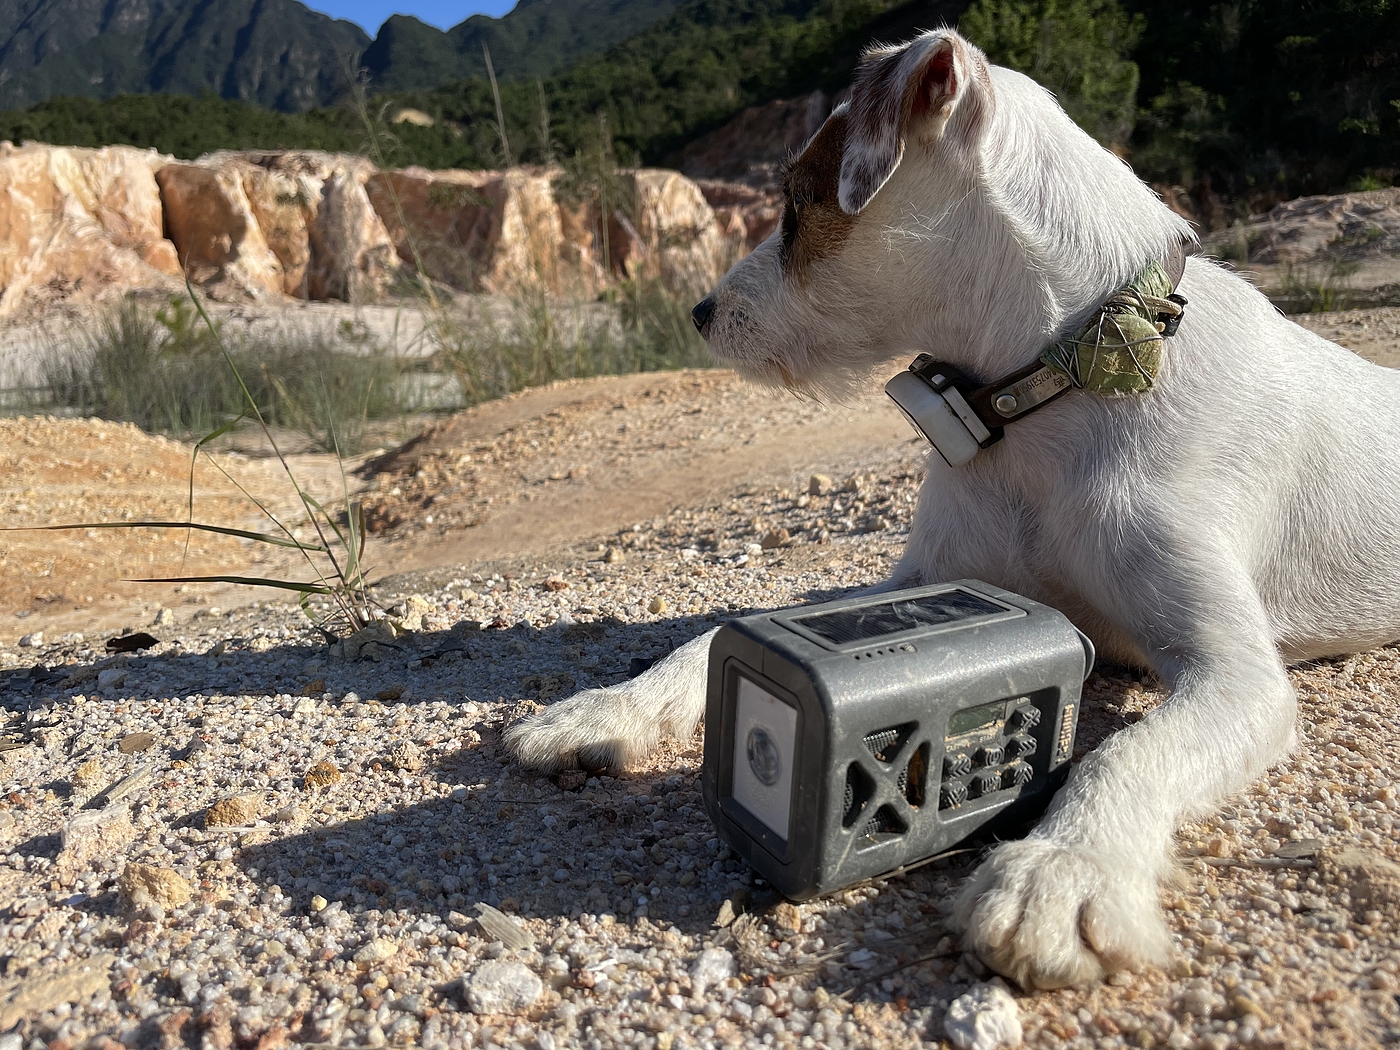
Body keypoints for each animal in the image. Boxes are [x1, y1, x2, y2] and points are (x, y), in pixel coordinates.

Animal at [509, 28, 1400, 991]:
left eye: (795, 203)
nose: (701, 311)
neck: (1047, 391)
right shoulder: (930, 584)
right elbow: (709, 636)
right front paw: (609, 708)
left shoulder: (1238, 674)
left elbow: (1130, 749)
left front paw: (1061, 872)